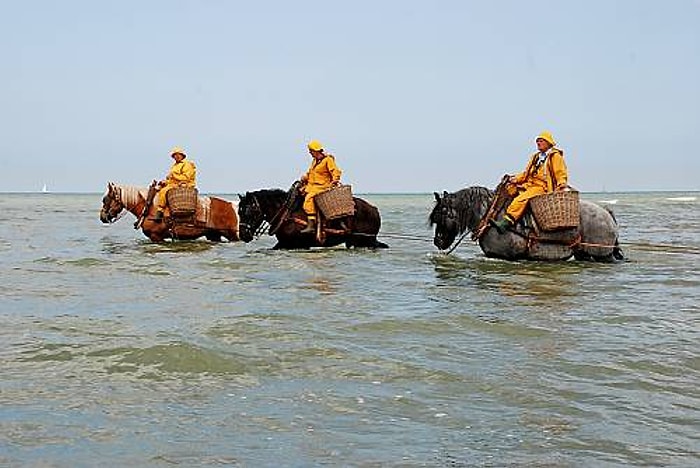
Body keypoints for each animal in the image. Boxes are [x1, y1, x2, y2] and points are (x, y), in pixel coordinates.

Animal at [100, 182, 239, 243]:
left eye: (105, 199)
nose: (102, 216)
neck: (148, 207)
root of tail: (233, 205)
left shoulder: (156, 237)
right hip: (214, 235)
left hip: (233, 235)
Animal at [237, 186, 388, 250]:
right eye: (239, 212)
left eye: (248, 212)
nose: (243, 235)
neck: (286, 214)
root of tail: (374, 209)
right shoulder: (284, 243)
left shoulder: (296, 245)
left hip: (364, 241)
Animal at [432, 186, 624, 262]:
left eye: (442, 214)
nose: (437, 241)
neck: (490, 216)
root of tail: (606, 212)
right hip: (584, 253)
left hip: (603, 254)